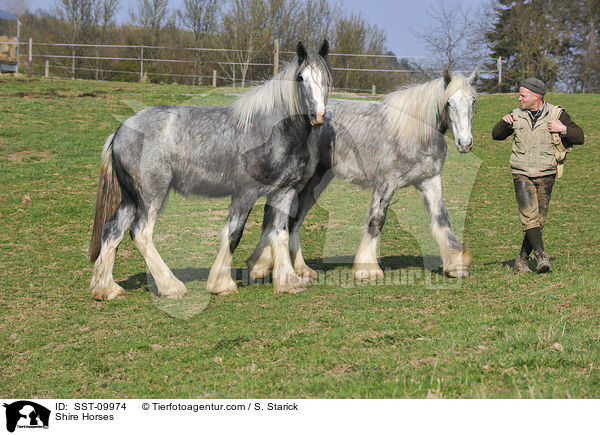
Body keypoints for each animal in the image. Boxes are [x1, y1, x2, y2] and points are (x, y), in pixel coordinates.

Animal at [89, 40, 332, 300]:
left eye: (326, 77)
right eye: (301, 78)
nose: (318, 115)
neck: (270, 131)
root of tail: (120, 131)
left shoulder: (283, 192)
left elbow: (280, 232)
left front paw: (288, 281)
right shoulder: (244, 193)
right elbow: (234, 233)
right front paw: (222, 284)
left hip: (131, 198)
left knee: (113, 231)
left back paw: (106, 289)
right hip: (151, 194)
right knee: (141, 233)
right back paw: (171, 286)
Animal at [247, 67, 478, 282]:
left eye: (473, 102)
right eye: (449, 103)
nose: (465, 143)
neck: (414, 133)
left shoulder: (430, 181)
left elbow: (442, 219)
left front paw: (455, 265)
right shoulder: (386, 183)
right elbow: (376, 221)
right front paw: (368, 269)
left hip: (315, 182)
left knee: (293, 220)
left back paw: (298, 269)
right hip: (300, 180)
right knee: (277, 216)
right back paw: (262, 266)